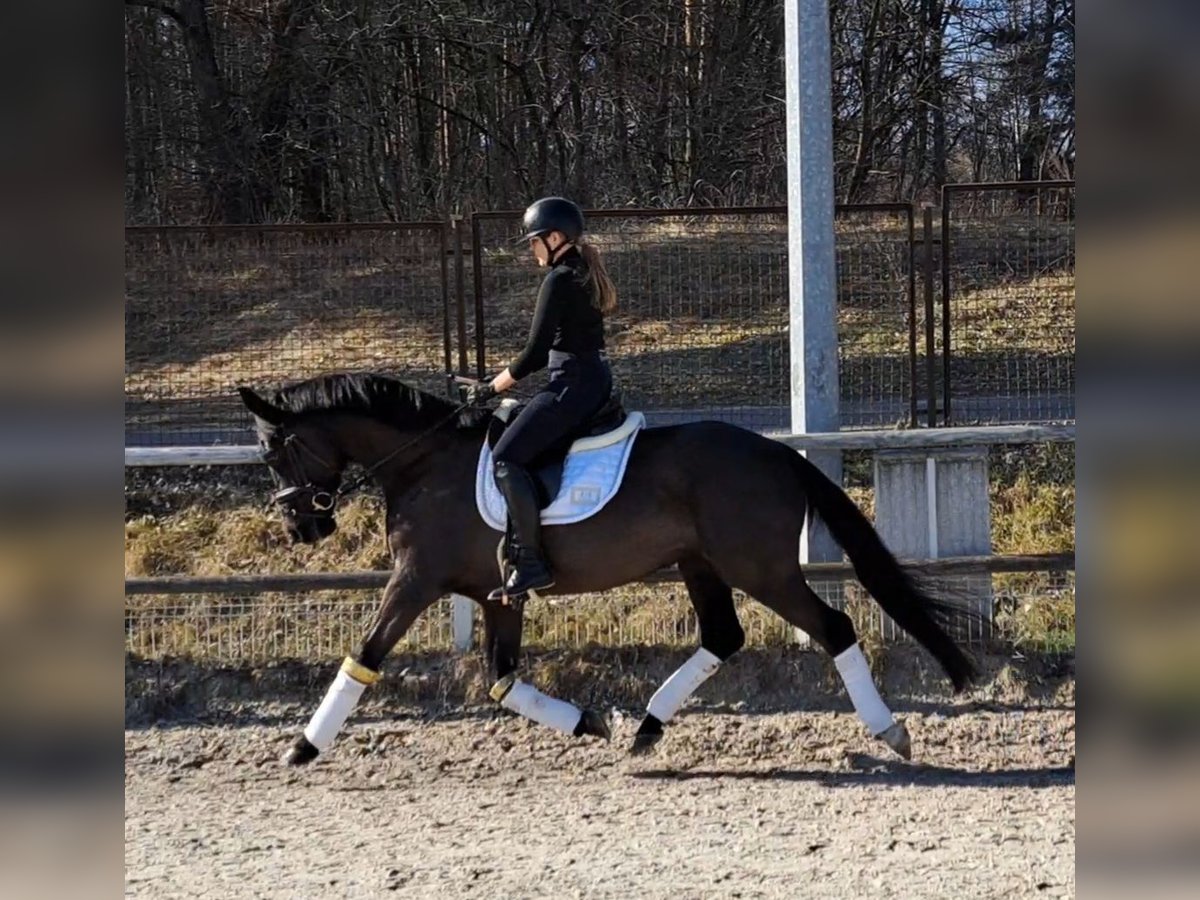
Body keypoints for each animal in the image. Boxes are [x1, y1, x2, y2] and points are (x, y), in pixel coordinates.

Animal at [236, 372, 976, 766]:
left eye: (274, 454)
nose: (302, 527)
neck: (423, 463)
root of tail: (776, 453)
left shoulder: (416, 581)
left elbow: (364, 656)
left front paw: (302, 747)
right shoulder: (497, 595)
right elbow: (501, 681)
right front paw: (590, 722)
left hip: (760, 568)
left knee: (833, 627)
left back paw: (890, 730)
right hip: (700, 563)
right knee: (723, 637)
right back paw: (645, 728)